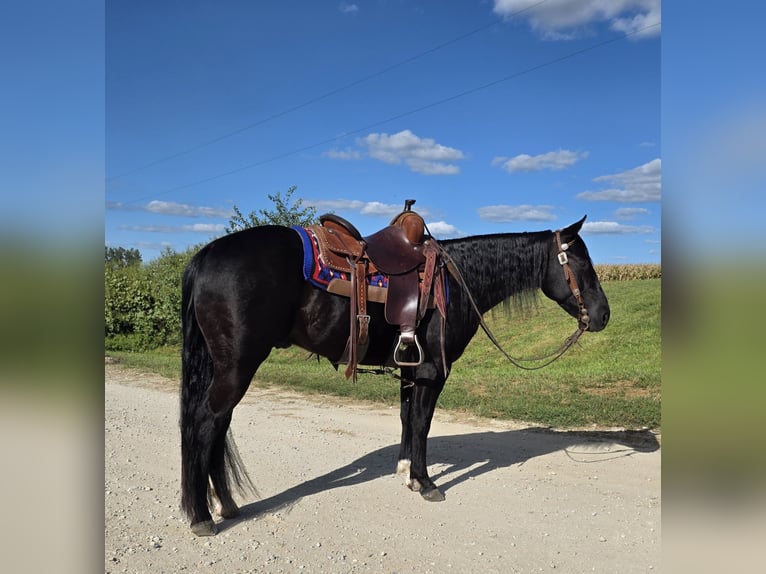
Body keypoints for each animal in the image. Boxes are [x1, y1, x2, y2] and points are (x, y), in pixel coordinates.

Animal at [179, 214, 610, 536]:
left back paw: (226, 504)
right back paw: (202, 516)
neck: (457, 282)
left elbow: (406, 419)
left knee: (217, 426)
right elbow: (421, 424)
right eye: (581, 263)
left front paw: (405, 473)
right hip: (237, 367)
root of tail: (205, 255)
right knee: (205, 424)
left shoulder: (410, 369)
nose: (603, 315)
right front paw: (425, 483)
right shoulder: (432, 372)